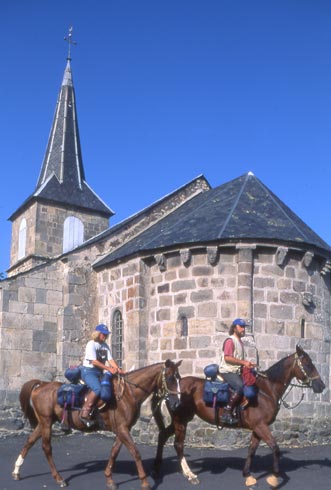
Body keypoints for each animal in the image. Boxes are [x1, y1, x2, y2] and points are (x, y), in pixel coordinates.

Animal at [13, 358, 182, 488]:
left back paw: (16, 471)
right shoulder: (123, 429)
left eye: (179, 378)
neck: (127, 393)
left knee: (29, 441)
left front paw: (109, 479)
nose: (176, 404)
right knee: (46, 448)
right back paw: (59, 478)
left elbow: (114, 452)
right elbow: (136, 452)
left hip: (43, 423)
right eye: (170, 378)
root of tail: (41, 384)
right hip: (46, 422)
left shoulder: (122, 429)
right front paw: (145, 482)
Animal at [154, 346, 326, 488]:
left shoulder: (257, 428)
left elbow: (251, 450)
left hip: (182, 419)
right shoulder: (261, 426)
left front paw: (248, 475)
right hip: (180, 421)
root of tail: (169, 389)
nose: (322, 386)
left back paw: (158, 467)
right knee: (178, 445)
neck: (267, 390)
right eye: (307, 364)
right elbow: (275, 448)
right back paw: (190, 475)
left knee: (162, 435)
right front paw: (274, 478)